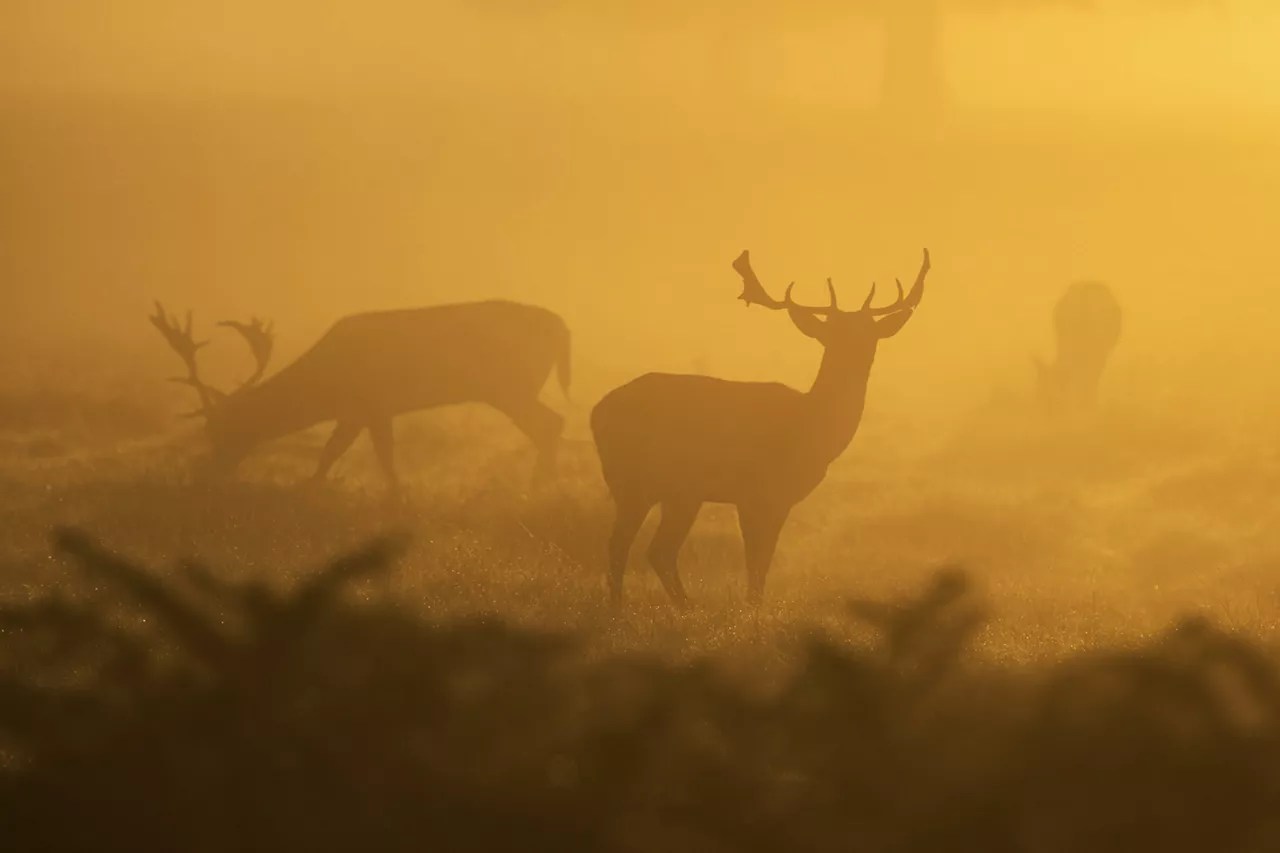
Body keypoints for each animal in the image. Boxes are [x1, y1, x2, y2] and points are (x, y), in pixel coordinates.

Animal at [149, 298, 570, 489]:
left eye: (219, 429)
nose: (207, 473)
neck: (325, 384)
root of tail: (563, 327)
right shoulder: (363, 411)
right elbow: (345, 452)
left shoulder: (369, 404)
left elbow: (359, 452)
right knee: (550, 423)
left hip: (510, 386)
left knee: (551, 422)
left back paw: (539, 485)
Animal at [588, 245, 931, 604]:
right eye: (831, 331)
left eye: (870, 331)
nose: (856, 354)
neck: (813, 429)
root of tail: (595, 412)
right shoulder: (758, 492)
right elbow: (757, 562)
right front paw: (753, 608)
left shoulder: (773, 497)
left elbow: (760, 562)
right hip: (637, 481)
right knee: (626, 546)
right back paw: (626, 607)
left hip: (675, 491)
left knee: (656, 549)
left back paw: (679, 607)